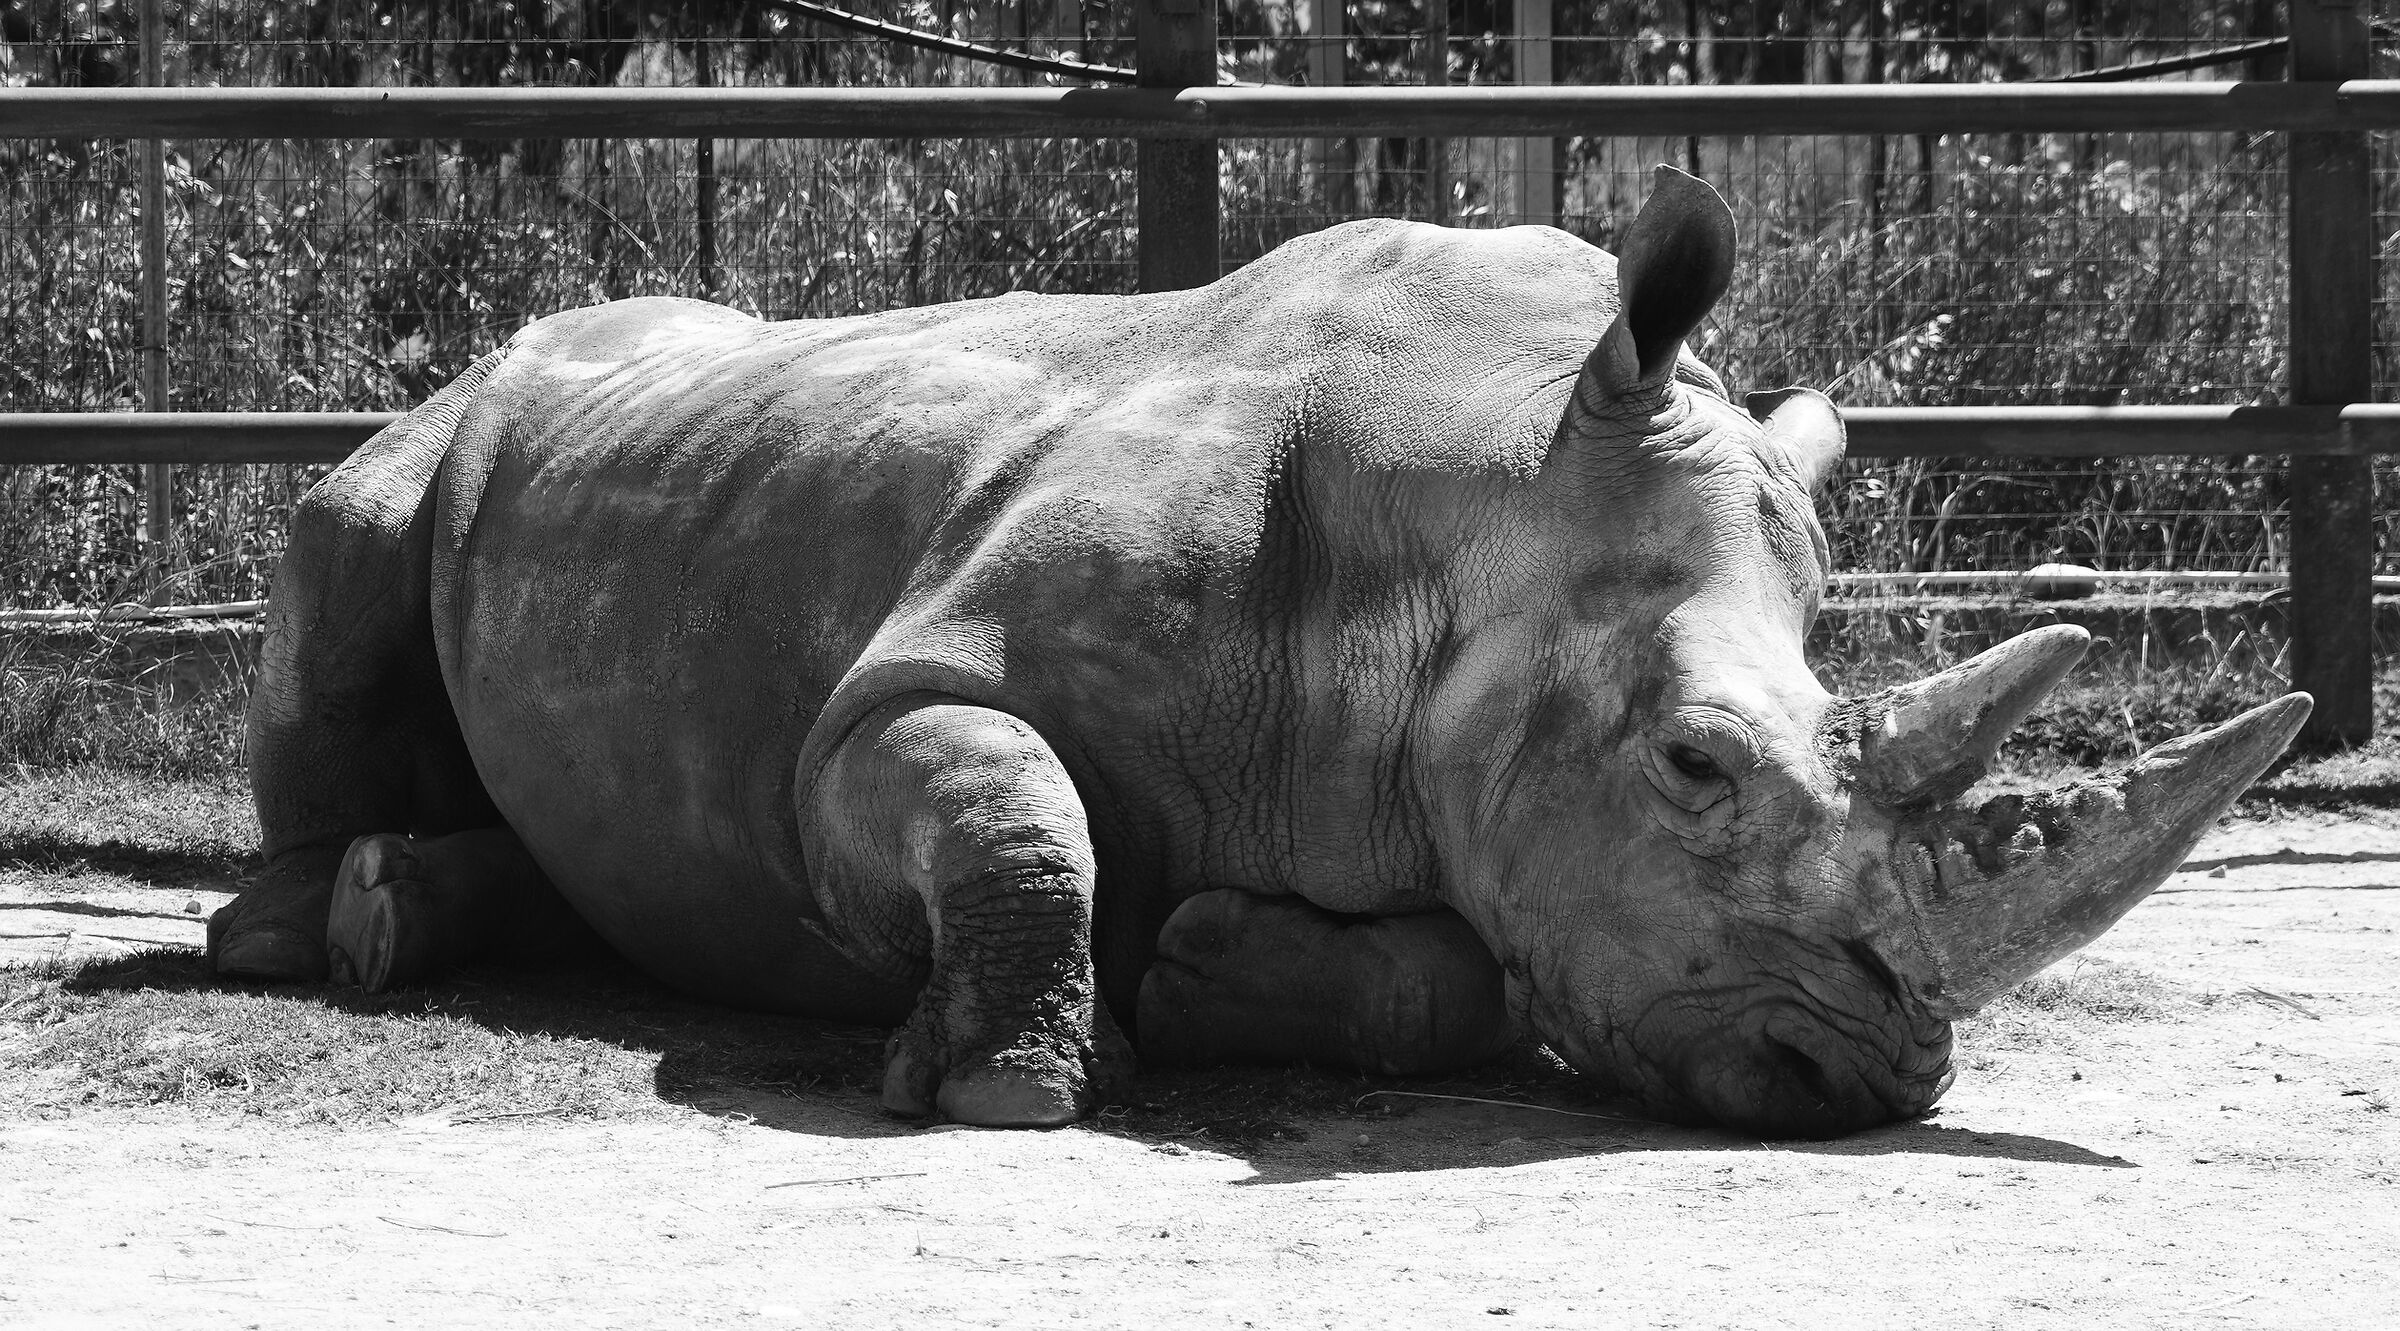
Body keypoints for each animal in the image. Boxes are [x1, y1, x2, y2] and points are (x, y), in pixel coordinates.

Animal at [207, 167, 2309, 1138]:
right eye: (1696, 767)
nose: (1868, 1079)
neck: (1478, 493)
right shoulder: (891, 698)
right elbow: (1005, 798)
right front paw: (1009, 1089)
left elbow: (1463, 976)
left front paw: (1210, 964)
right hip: (430, 442)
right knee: (346, 554)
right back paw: (331, 931)